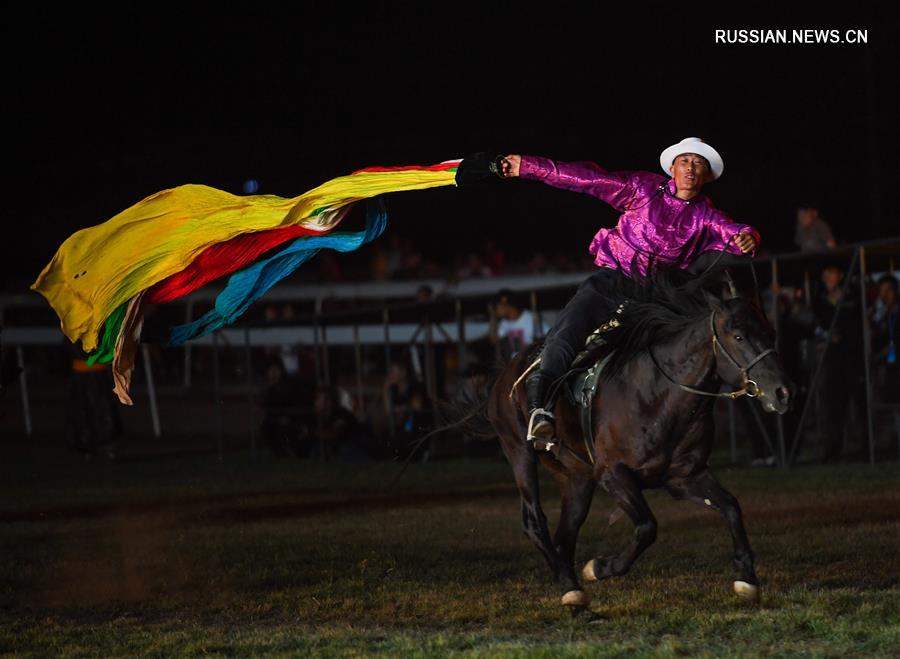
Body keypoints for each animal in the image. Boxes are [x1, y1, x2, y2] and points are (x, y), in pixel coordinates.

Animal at [482, 270, 792, 620]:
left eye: (770, 331)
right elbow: (646, 527)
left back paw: (576, 599)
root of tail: (507, 371)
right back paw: (572, 589)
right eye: (738, 336)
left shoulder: (685, 476)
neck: (658, 394)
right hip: (519, 451)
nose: (782, 392)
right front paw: (599, 567)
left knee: (565, 533)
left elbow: (731, 506)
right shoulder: (613, 474)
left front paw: (746, 579)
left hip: (575, 478)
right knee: (535, 521)